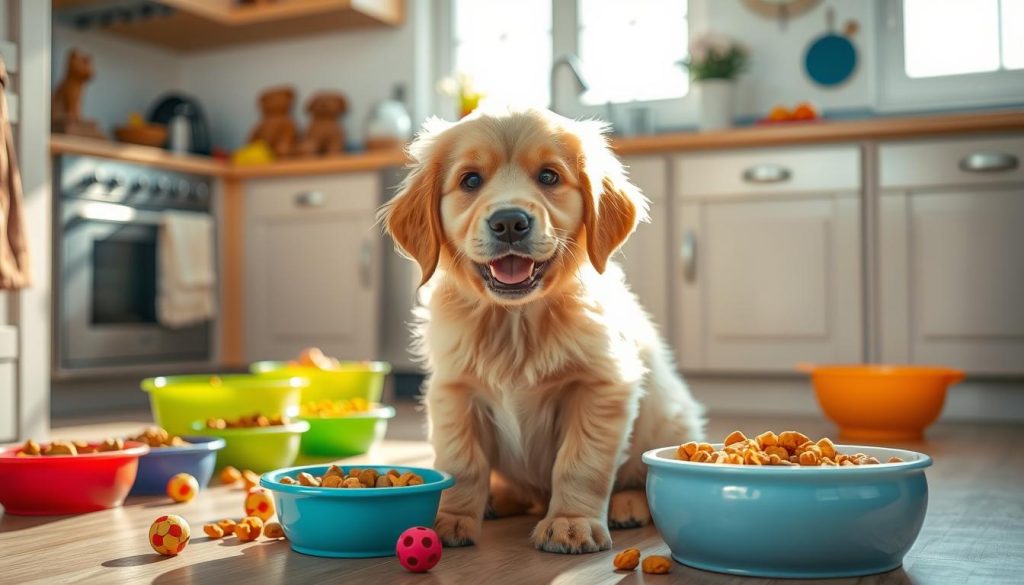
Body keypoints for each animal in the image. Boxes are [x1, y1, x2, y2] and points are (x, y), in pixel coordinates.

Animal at [378, 108, 704, 553]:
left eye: (549, 176)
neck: (516, 320)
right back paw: (497, 500)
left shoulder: (602, 387)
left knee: (639, 473)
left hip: (668, 418)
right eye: (470, 181)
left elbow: (580, 463)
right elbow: (462, 462)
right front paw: (450, 518)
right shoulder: (454, 390)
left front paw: (571, 523)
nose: (509, 222)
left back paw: (628, 504)